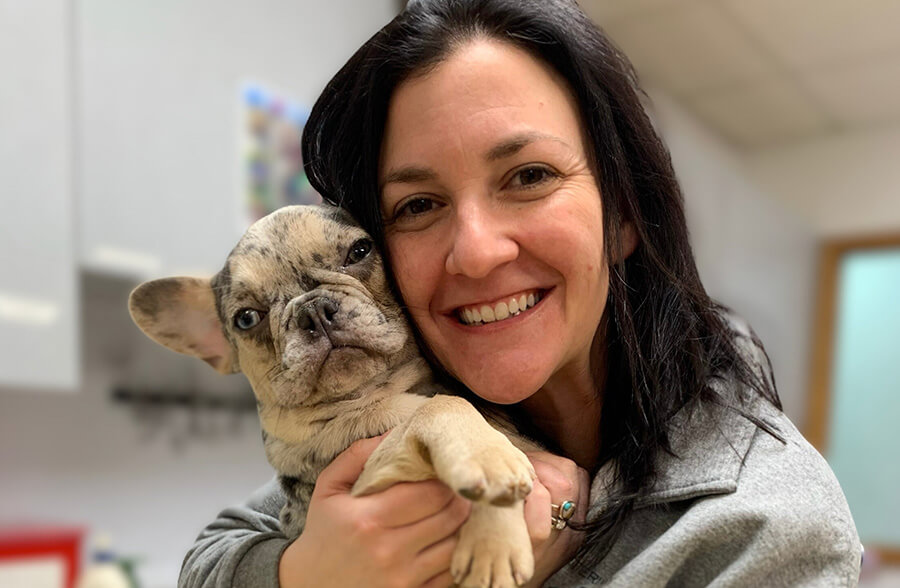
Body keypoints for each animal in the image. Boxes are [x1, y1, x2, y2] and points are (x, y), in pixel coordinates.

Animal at [129, 204, 536, 588]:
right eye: (246, 319)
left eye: (360, 251)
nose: (312, 309)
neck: (371, 396)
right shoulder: (371, 481)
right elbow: (441, 406)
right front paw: (488, 468)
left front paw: (492, 537)